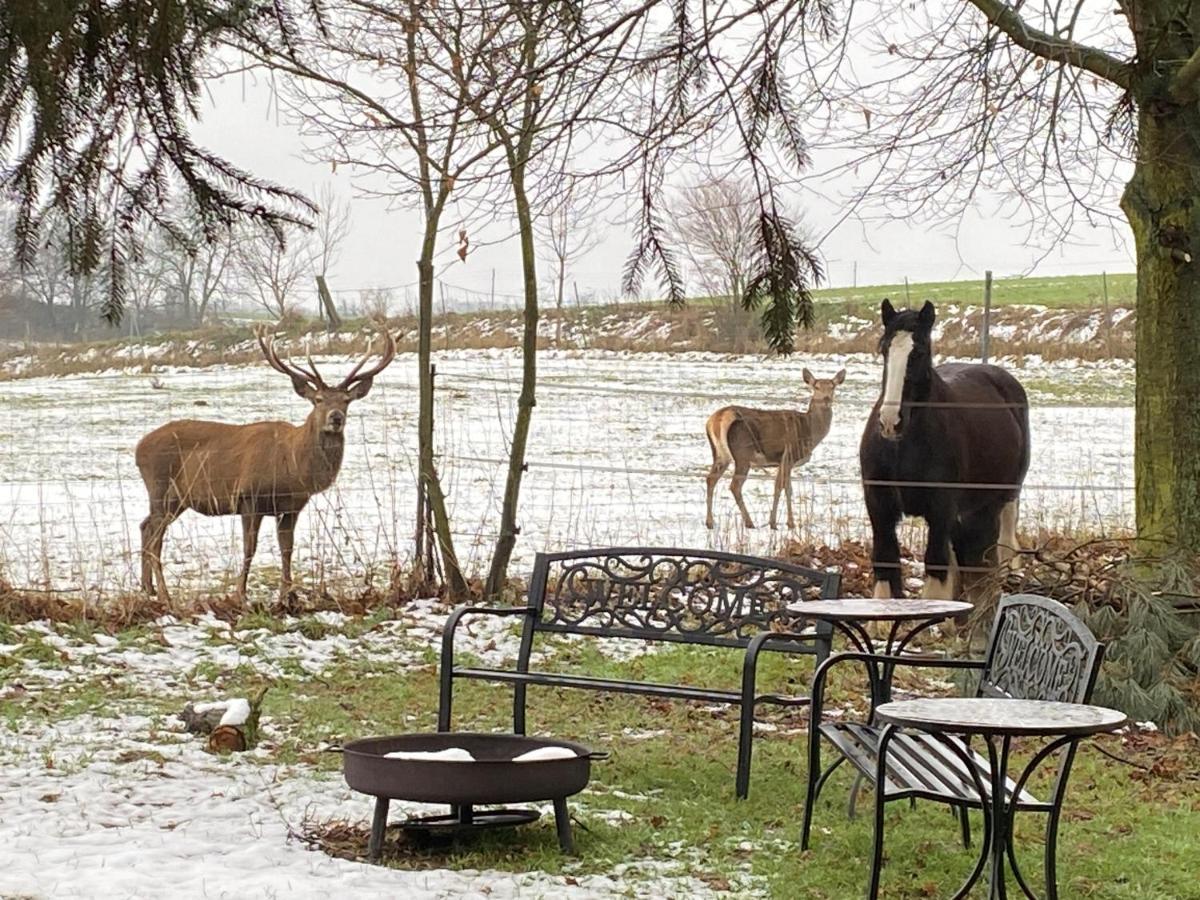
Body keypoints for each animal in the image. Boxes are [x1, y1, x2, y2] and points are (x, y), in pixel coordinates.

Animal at [136, 328, 396, 602]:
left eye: (346, 400)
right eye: (318, 399)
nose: (336, 418)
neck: (293, 466)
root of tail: (138, 447)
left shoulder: (292, 507)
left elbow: (287, 549)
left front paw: (287, 595)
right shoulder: (249, 497)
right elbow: (249, 548)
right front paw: (240, 594)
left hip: (177, 500)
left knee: (145, 526)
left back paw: (147, 587)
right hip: (161, 488)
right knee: (155, 538)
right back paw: (164, 594)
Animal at [700, 369, 844, 532]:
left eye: (832, 387)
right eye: (816, 387)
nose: (826, 399)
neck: (809, 431)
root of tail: (717, 420)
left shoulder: (784, 461)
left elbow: (785, 487)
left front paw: (783, 522)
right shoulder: (788, 455)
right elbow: (782, 487)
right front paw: (780, 523)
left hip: (720, 454)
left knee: (710, 479)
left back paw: (710, 522)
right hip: (742, 454)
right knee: (734, 486)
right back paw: (749, 522)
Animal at [864, 300, 1032, 602]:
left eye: (918, 351)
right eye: (884, 349)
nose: (890, 421)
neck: (902, 448)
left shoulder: (940, 510)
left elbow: (936, 568)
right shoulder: (879, 507)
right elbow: (885, 566)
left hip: (1004, 498)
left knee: (1000, 549)